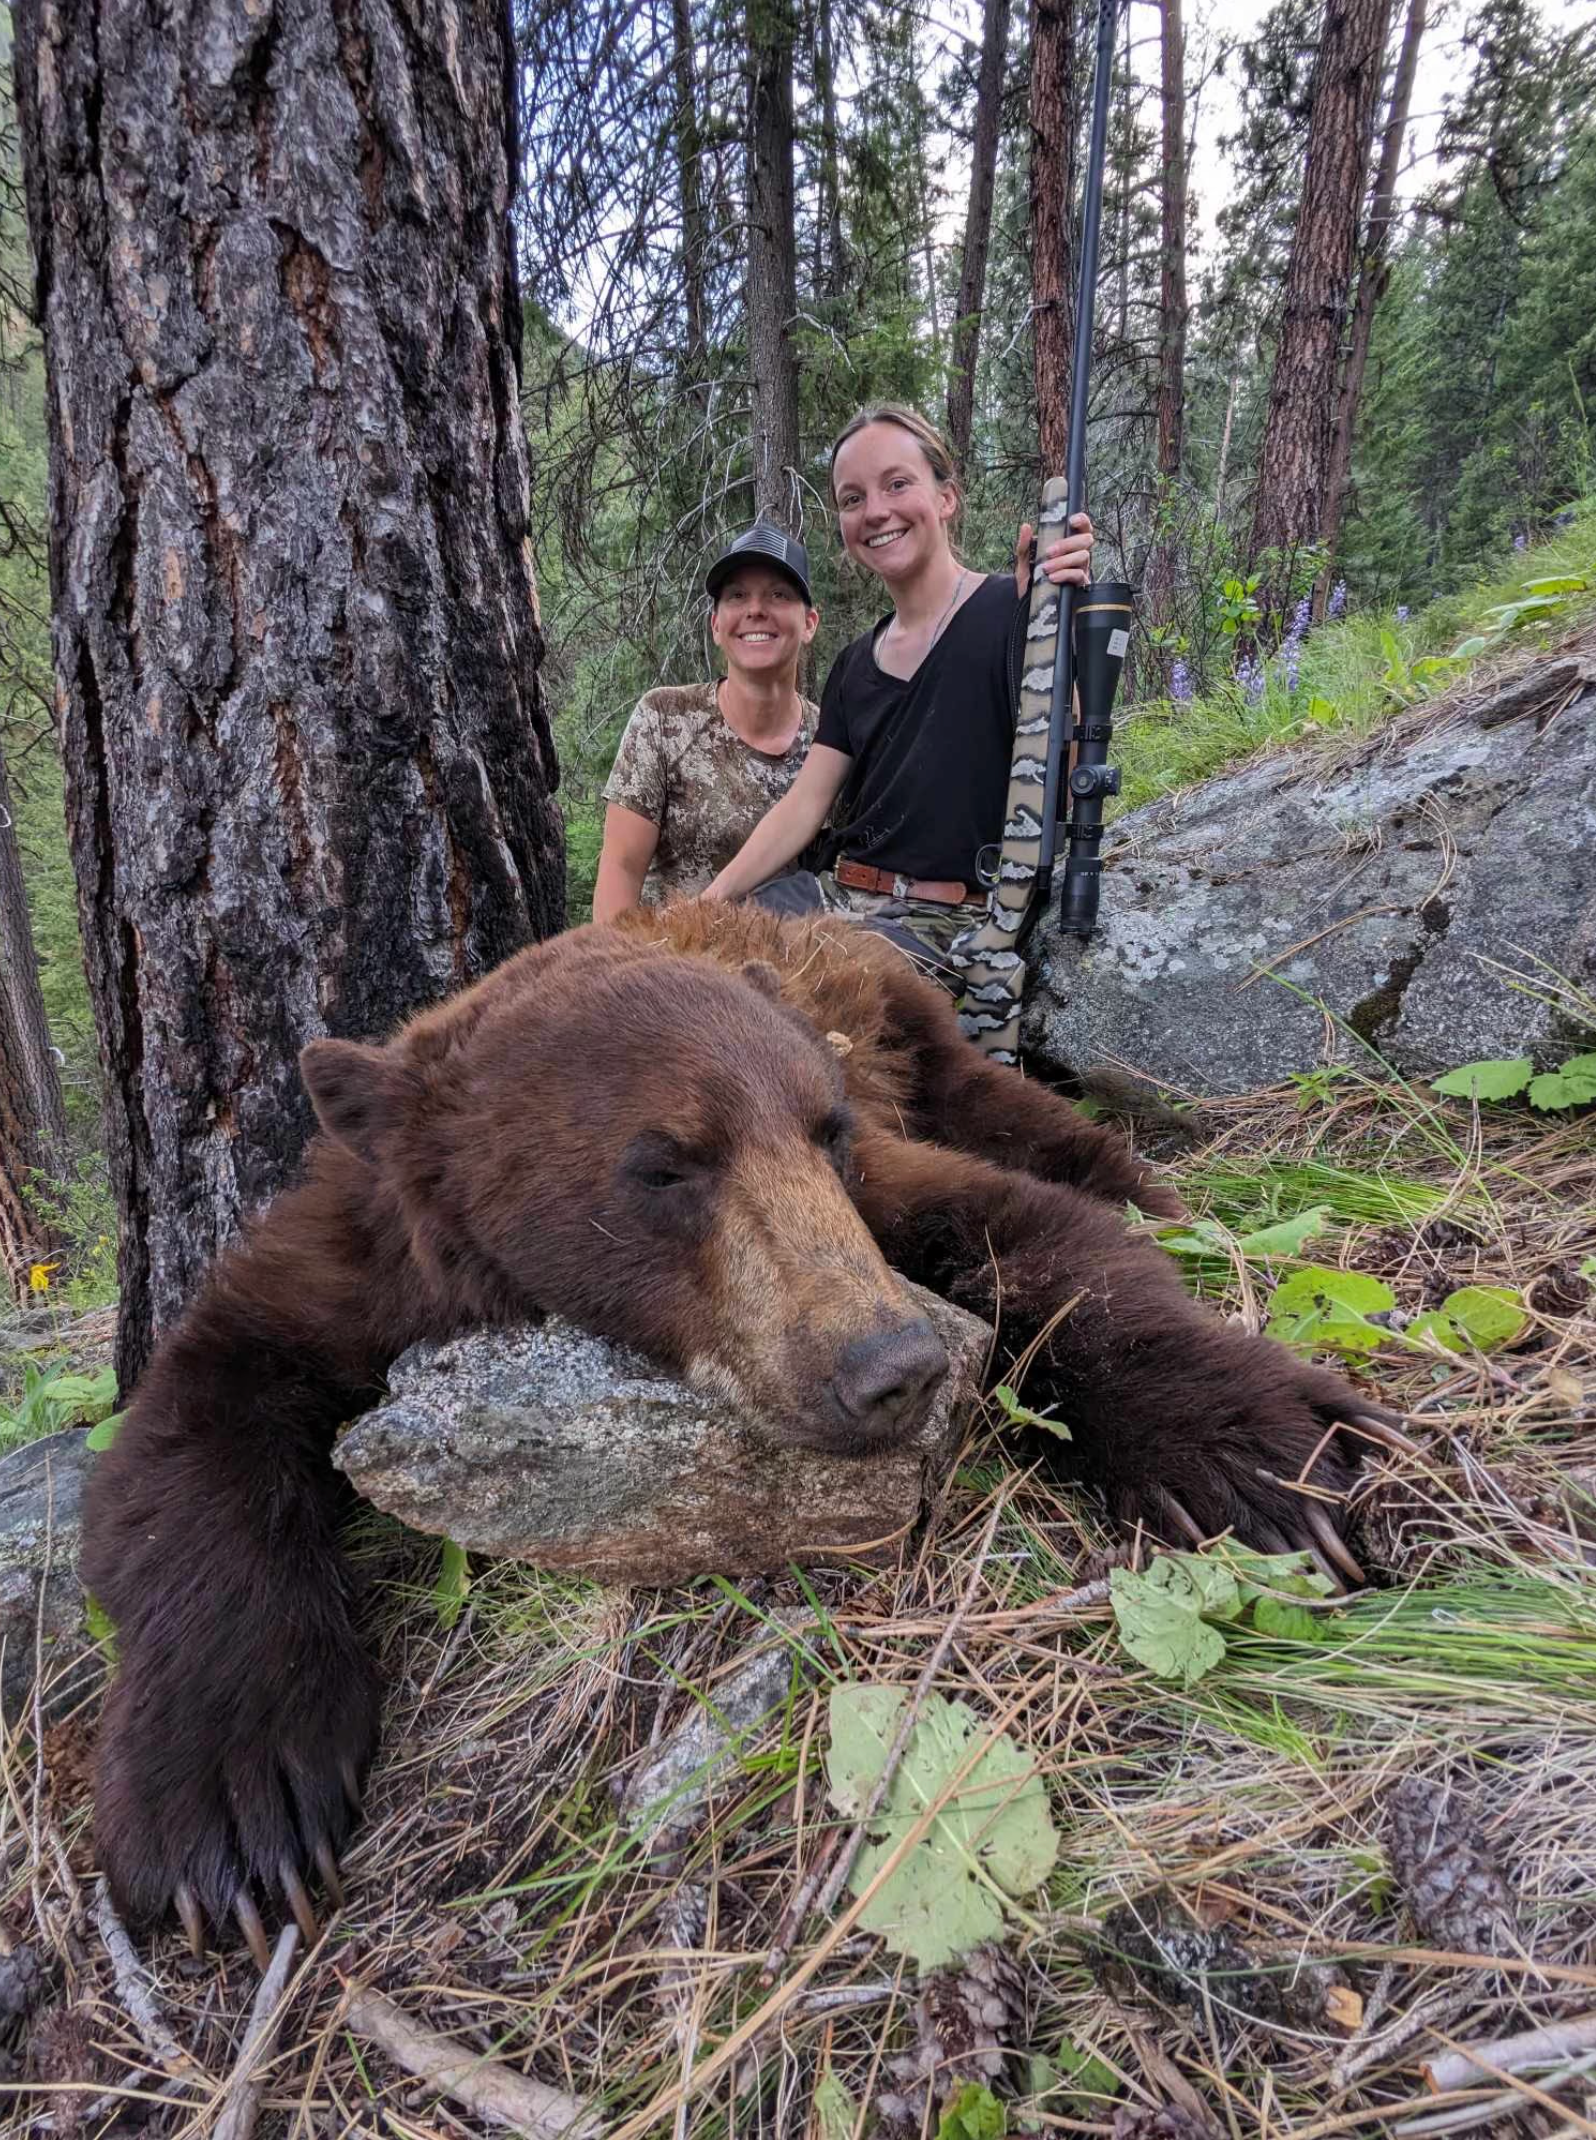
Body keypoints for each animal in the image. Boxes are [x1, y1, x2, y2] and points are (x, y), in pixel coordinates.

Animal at [82, 901, 1406, 1967]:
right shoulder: (356, 1260)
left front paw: (1264, 1452)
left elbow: (1034, 1233)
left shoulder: (870, 1184)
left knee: (1015, 1107)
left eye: (821, 1127)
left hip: (903, 1015)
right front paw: (234, 1810)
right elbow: (183, 1428)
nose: (892, 1368)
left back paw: (1149, 1180)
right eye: (665, 1164)